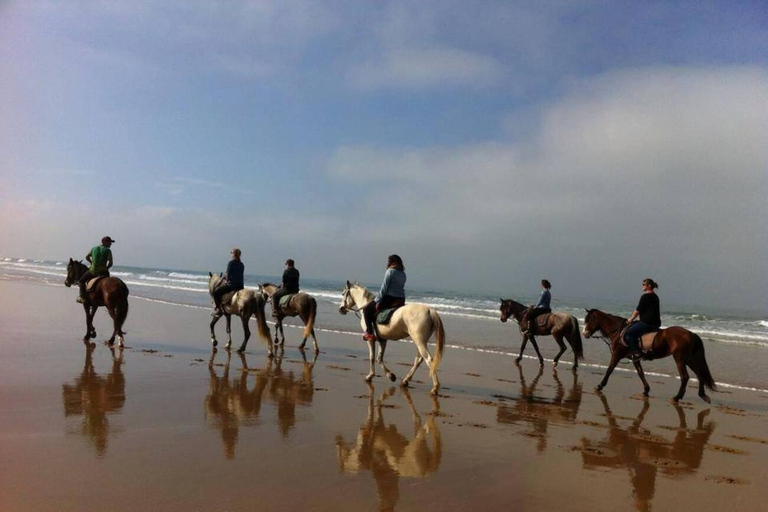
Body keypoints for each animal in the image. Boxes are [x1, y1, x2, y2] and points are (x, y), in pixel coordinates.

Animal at [584, 308, 716, 404]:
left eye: (589, 320)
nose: (584, 334)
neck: (618, 331)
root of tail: (691, 334)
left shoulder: (617, 354)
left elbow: (610, 369)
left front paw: (600, 386)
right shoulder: (635, 358)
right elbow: (640, 373)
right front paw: (646, 390)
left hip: (679, 358)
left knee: (685, 377)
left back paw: (677, 397)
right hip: (689, 359)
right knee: (700, 374)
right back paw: (702, 395)